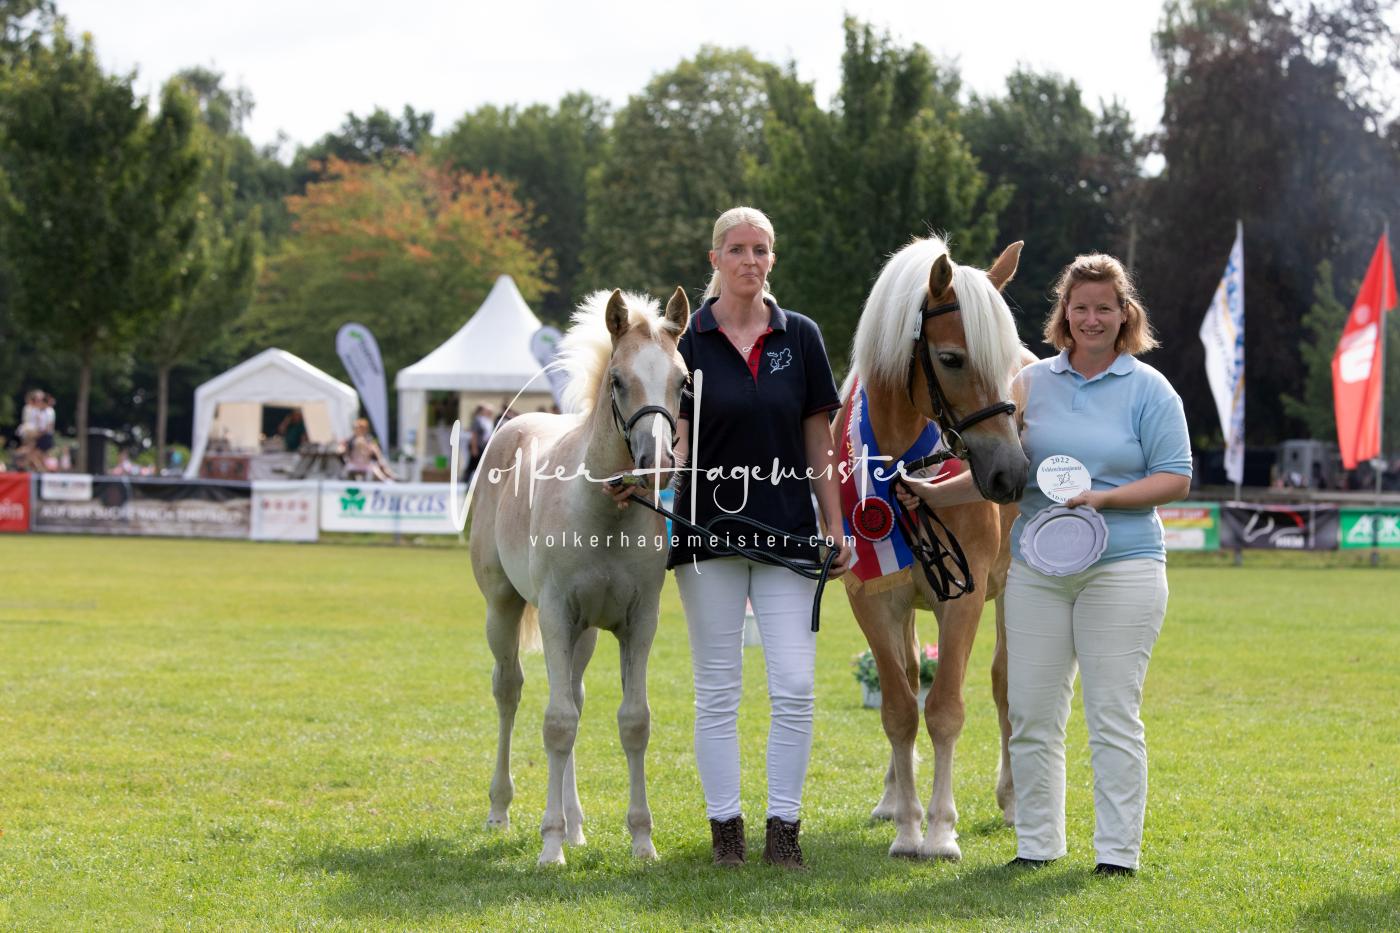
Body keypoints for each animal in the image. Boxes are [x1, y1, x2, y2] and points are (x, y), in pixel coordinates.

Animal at [470, 286, 690, 866]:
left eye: (683, 381)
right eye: (618, 380)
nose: (656, 462)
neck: (603, 516)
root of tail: (514, 426)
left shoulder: (638, 623)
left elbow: (632, 721)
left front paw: (641, 840)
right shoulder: (552, 615)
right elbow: (556, 723)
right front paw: (550, 847)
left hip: (584, 633)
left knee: (573, 694)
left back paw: (576, 825)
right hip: (503, 609)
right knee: (510, 691)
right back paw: (500, 811)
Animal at [835, 235, 1035, 861]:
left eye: (1005, 364)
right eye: (951, 359)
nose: (1011, 474)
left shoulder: (963, 596)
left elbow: (945, 709)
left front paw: (942, 831)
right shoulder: (872, 598)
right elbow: (900, 708)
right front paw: (907, 826)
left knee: (1005, 685)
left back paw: (1014, 801)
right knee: (903, 672)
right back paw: (891, 797)